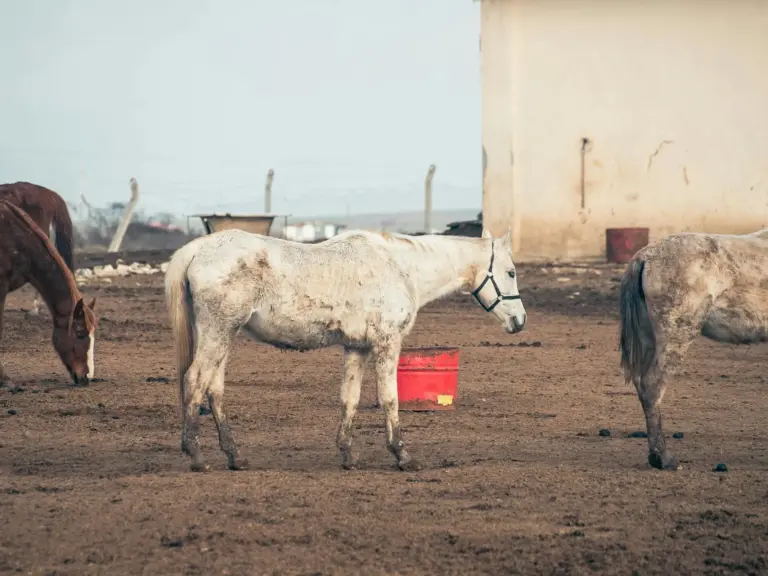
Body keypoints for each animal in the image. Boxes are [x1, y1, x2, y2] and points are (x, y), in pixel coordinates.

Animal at [165, 227, 526, 472]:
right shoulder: (387, 343)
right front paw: (402, 455)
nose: (519, 320)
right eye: (510, 272)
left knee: (214, 388)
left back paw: (235, 456)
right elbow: (389, 398)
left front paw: (348, 455)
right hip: (218, 332)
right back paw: (196, 455)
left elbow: (349, 398)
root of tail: (198, 249)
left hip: (223, 335)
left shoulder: (357, 348)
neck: (400, 266)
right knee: (195, 381)